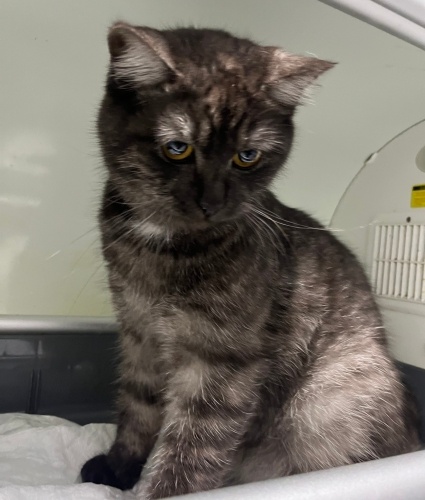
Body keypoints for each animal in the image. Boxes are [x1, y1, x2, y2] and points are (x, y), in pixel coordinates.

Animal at [80, 22, 421, 499]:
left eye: (247, 156)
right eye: (178, 148)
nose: (212, 202)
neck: (163, 248)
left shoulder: (222, 362)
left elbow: (191, 448)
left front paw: (161, 488)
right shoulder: (139, 332)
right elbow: (138, 405)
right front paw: (120, 466)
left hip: (330, 400)